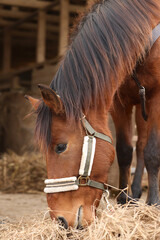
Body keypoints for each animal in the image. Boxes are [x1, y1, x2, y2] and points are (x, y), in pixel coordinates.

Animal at [25, 0, 160, 228]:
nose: (60, 221)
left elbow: (153, 153)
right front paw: (124, 201)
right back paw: (134, 194)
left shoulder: (157, 96)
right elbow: (124, 151)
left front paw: (153, 205)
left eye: (61, 147)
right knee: (139, 145)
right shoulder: (118, 102)